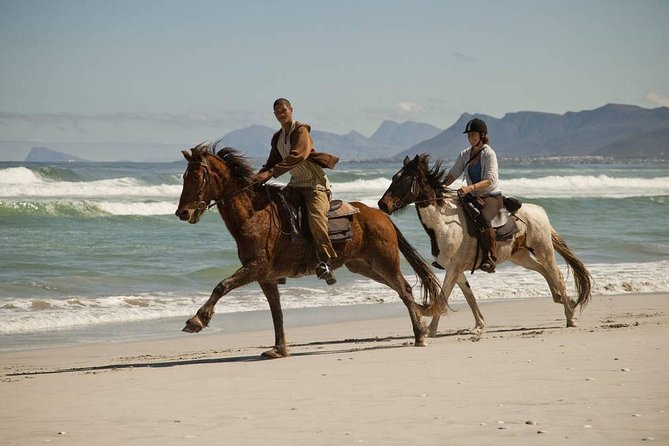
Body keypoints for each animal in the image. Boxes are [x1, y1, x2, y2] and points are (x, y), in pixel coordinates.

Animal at [175, 145, 440, 358]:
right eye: (184, 176)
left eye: (197, 176)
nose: (182, 213)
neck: (254, 215)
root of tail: (381, 215)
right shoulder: (266, 277)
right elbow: (276, 312)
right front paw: (279, 349)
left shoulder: (255, 267)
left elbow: (222, 286)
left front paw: (197, 320)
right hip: (365, 266)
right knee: (400, 290)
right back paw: (421, 328)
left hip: (384, 261)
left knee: (404, 289)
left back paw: (419, 335)